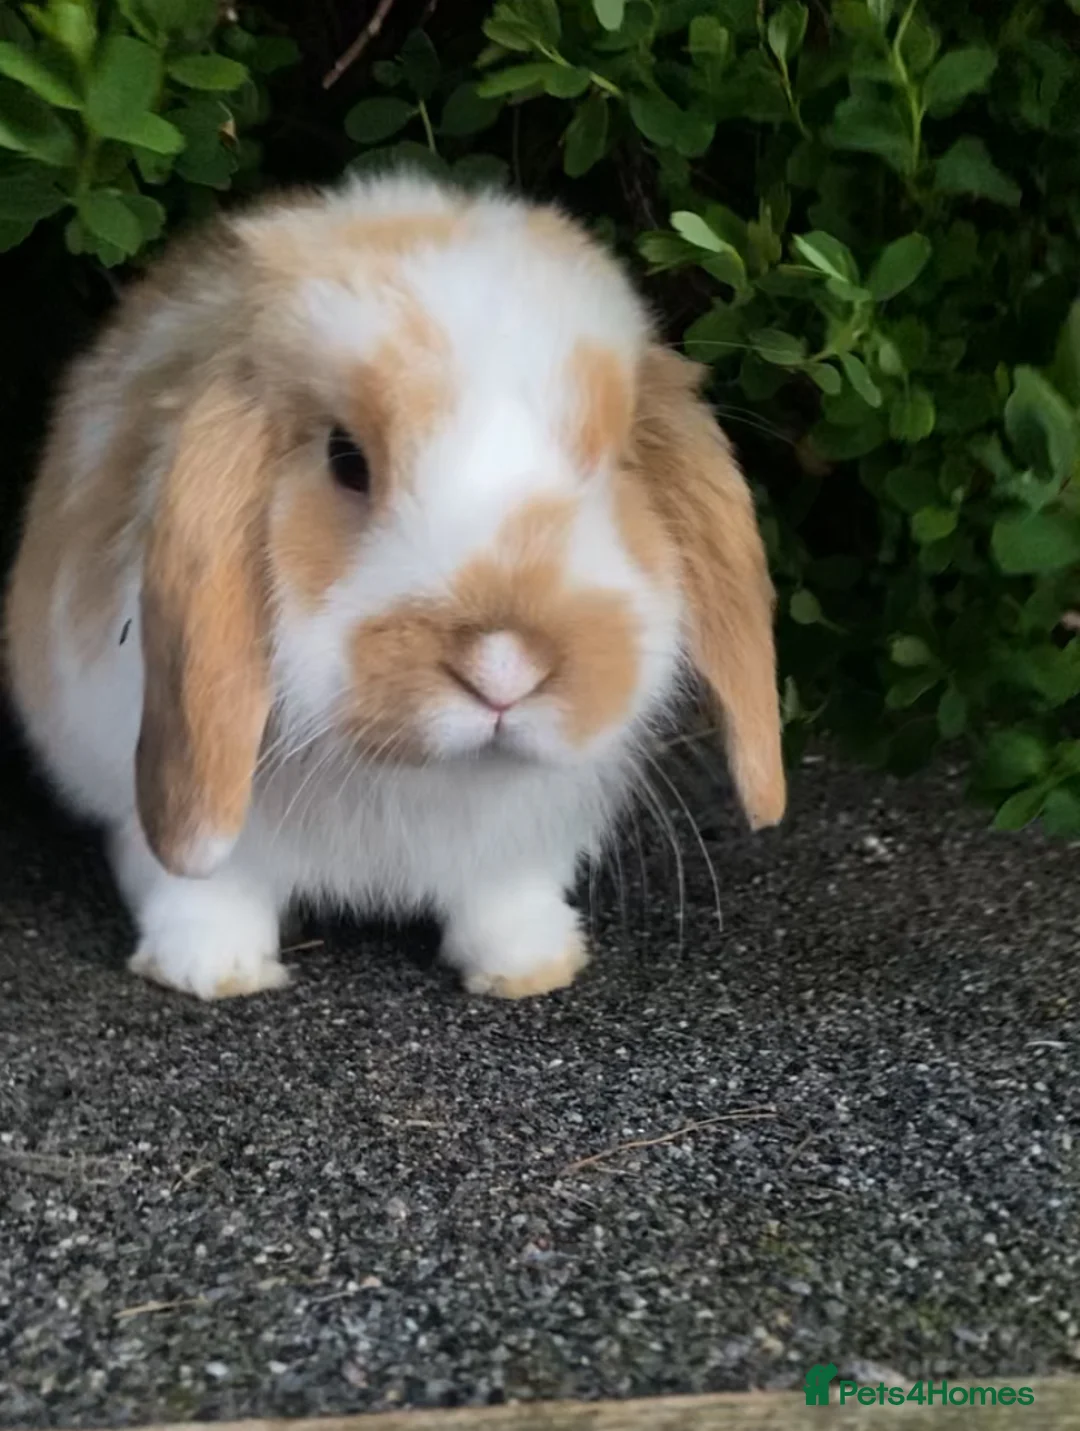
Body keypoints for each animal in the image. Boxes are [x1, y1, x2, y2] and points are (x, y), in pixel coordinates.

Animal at [3, 171, 786, 1003]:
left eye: (613, 468)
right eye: (346, 460)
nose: (503, 665)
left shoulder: (522, 848)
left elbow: (506, 896)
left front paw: (530, 967)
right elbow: (204, 887)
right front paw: (211, 971)